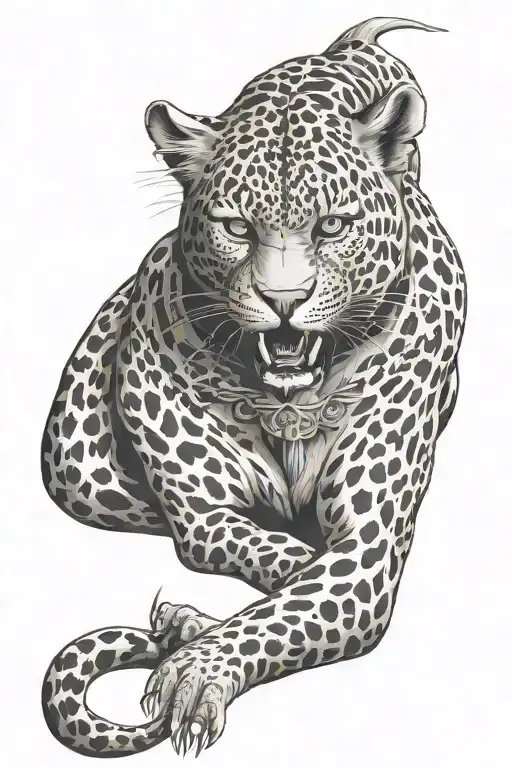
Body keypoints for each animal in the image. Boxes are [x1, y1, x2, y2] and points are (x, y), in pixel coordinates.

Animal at [41, 16, 466, 760]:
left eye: (333, 225)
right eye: (236, 226)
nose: (284, 301)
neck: (288, 405)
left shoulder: (367, 548)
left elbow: (288, 603)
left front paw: (195, 664)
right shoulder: (208, 517)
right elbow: (279, 564)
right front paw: (189, 628)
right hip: (73, 463)